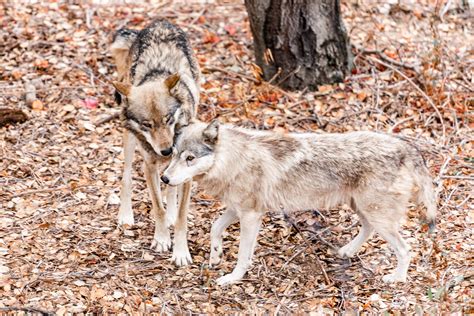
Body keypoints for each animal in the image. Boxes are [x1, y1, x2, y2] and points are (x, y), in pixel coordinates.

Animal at [109, 19, 200, 266]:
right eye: (147, 124)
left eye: (168, 119)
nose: (167, 151)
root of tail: (160, 22)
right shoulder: (149, 166)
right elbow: (157, 207)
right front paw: (161, 239)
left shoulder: (186, 173)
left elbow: (181, 216)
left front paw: (180, 252)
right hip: (129, 142)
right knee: (126, 177)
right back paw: (125, 215)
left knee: (170, 187)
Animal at [162, 119, 436, 286]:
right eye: (174, 155)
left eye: (190, 158)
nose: (164, 178)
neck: (233, 159)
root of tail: (405, 146)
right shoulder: (237, 208)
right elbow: (215, 227)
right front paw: (216, 255)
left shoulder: (251, 215)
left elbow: (242, 255)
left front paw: (233, 278)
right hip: (363, 209)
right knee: (368, 229)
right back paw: (347, 251)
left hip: (377, 215)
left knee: (405, 249)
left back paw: (397, 278)